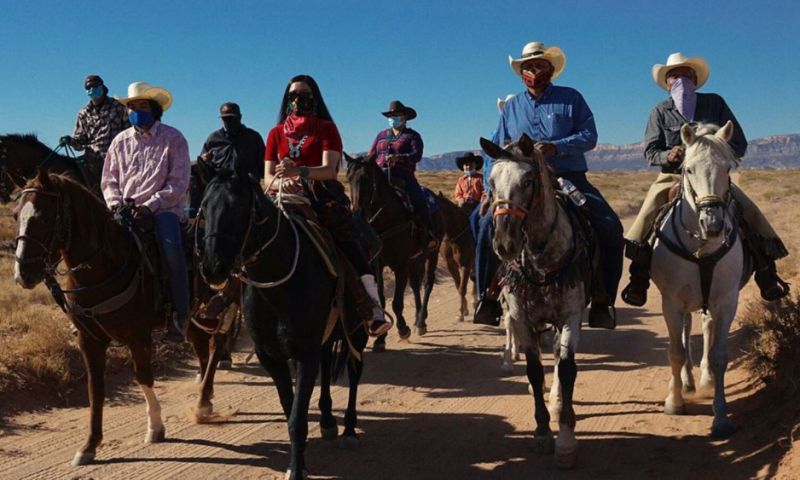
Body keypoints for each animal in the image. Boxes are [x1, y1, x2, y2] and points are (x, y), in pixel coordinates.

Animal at [198, 168, 368, 480]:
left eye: (238, 207)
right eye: (204, 206)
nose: (212, 266)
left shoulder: (304, 353)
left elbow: (297, 418)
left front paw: (298, 470)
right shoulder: (270, 355)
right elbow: (290, 409)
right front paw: (299, 461)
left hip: (357, 331)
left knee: (354, 372)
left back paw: (349, 429)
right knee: (328, 364)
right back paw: (328, 420)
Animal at [346, 156, 444, 346]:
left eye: (367, 177)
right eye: (349, 178)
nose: (357, 212)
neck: (386, 221)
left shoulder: (400, 265)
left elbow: (397, 303)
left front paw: (403, 329)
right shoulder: (378, 264)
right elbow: (382, 298)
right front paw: (381, 338)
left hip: (432, 254)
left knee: (427, 284)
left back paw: (421, 321)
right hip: (416, 259)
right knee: (415, 285)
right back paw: (418, 319)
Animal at [478, 134, 592, 468]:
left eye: (528, 181)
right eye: (491, 181)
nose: (505, 243)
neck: (541, 259)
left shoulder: (570, 316)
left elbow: (566, 369)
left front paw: (565, 438)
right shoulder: (521, 317)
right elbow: (533, 369)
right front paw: (542, 431)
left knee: (556, 355)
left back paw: (556, 400)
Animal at [648, 121, 752, 438]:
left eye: (728, 168)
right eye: (689, 169)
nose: (713, 224)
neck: (701, 247)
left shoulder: (727, 301)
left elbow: (719, 356)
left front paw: (721, 417)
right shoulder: (670, 301)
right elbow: (675, 352)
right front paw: (674, 401)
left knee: (705, 328)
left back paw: (702, 379)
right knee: (685, 332)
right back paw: (687, 382)